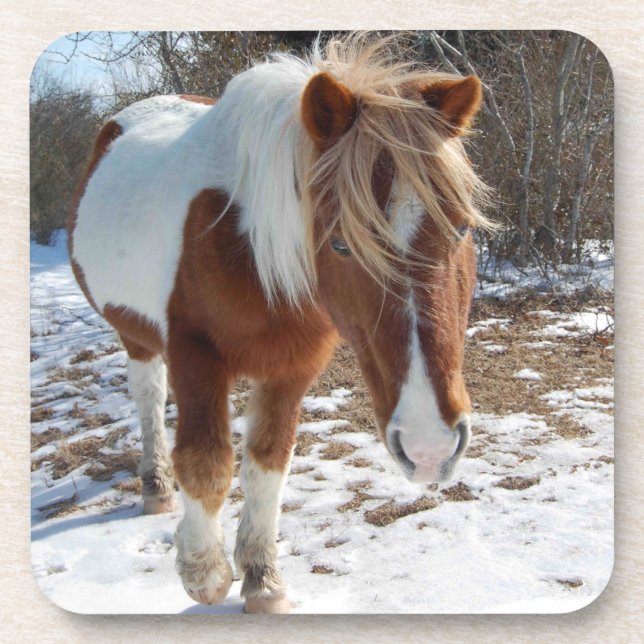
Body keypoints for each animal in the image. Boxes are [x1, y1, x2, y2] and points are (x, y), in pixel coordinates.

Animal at [68, 33, 489, 613]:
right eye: (340, 242)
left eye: (461, 228)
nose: (430, 447)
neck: (246, 241)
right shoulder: (194, 354)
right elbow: (206, 462)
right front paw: (204, 573)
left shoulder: (292, 367)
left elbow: (268, 464)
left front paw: (262, 579)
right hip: (138, 336)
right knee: (149, 396)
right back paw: (155, 487)